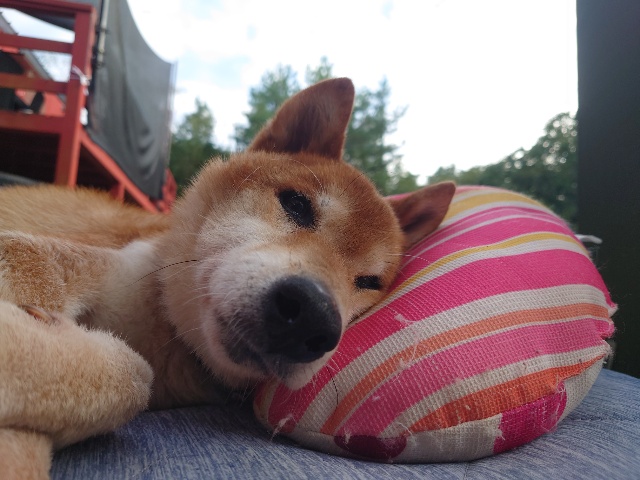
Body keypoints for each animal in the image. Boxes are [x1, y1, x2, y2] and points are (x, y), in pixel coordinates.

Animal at [0, 78, 455, 478]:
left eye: (369, 281)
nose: (313, 316)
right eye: (296, 204)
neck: (161, 330)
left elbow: (132, 378)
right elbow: (33, 262)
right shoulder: (100, 266)